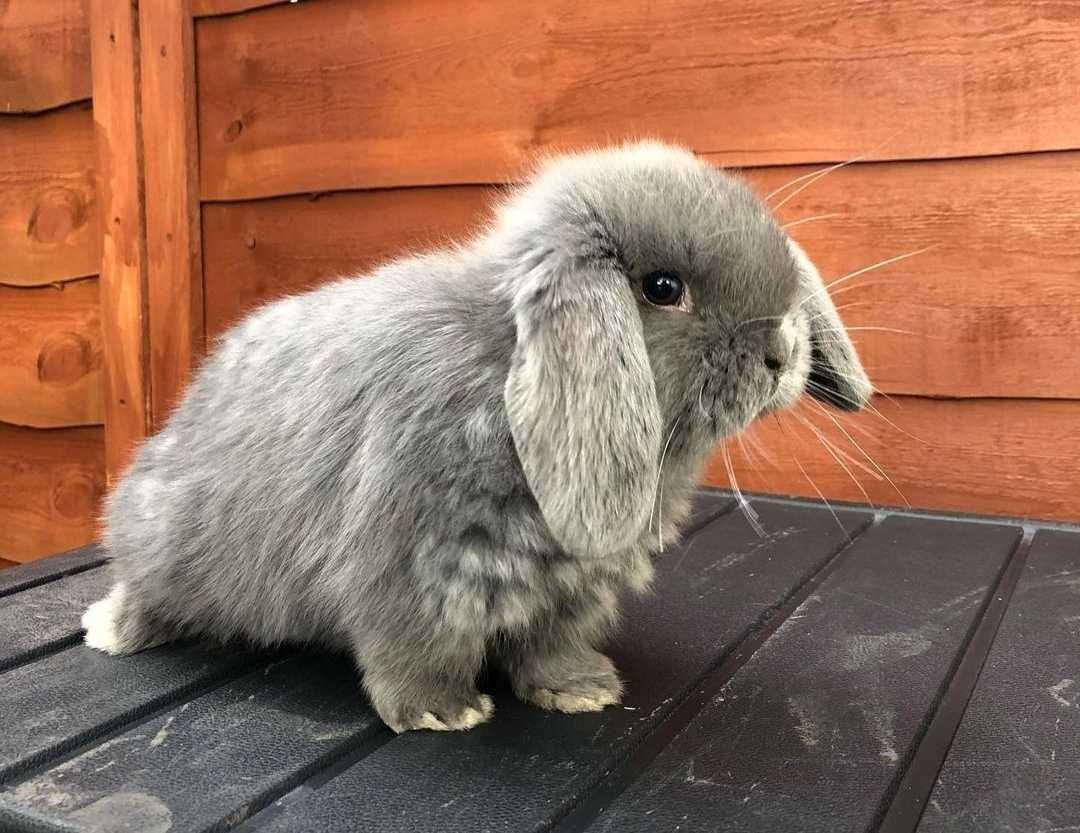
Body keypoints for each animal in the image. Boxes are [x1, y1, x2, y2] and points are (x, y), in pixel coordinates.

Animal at [82, 140, 868, 734]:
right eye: (663, 288)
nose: (783, 353)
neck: (501, 366)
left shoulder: (568, 592)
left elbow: (551, 646)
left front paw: (582, 690)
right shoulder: (406, 570)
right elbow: (411, 648)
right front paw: (444, 713)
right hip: (161, 543)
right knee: (140, 590)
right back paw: (112, 630)